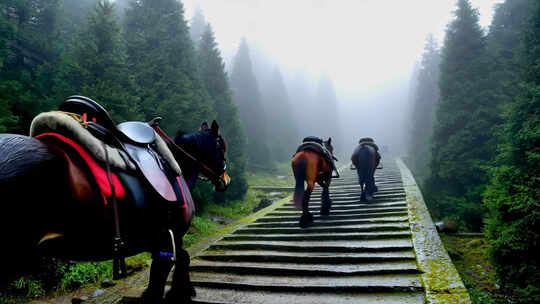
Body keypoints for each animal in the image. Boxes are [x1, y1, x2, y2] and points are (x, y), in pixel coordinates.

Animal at [0, 96, 230, 302]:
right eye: (221, 146)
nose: (226, 179)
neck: (176, 163)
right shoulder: (169, 238)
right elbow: (167, 271)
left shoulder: (161, 240)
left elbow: (177, 263)